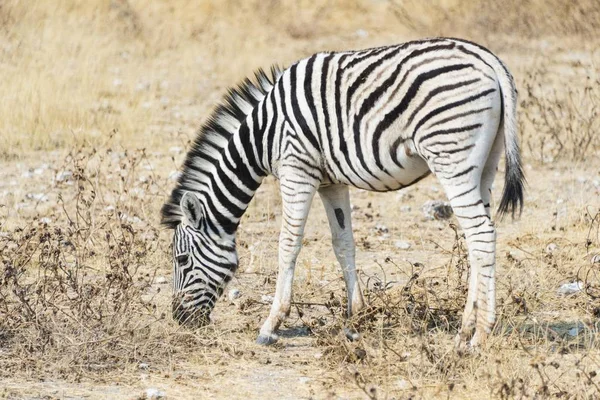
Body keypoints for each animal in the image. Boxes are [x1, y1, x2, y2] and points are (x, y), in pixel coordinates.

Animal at [162, 38, 524, 350]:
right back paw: (466, 329)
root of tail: (487, 58)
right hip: (484, 165)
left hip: (451, 156)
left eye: (181, 260)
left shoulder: (297, 170)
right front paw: (356, 316)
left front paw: (271, 325)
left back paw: (480, 335)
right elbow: (343, 243)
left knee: (481, 234)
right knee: (479, 239)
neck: (262, 135)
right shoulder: (330, 182)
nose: (178, 319)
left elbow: (288, 244)